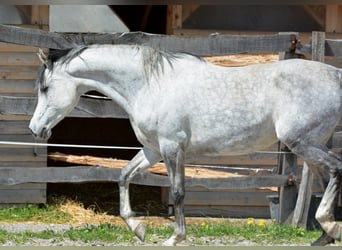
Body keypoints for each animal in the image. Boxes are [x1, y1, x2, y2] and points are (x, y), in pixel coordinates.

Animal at [28, 44, 340, 245]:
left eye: (45, 88)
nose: (35, 129)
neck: (149, 86)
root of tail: (335, 75)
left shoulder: (172, 147)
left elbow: (178, 192)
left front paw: (175, 237)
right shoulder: (153, 150)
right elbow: (124, 176)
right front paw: (138, 229)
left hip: (302, 142)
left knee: (335, 170)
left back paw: (329, 225)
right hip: (311, 144)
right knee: (327, 179)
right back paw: (324, 236)